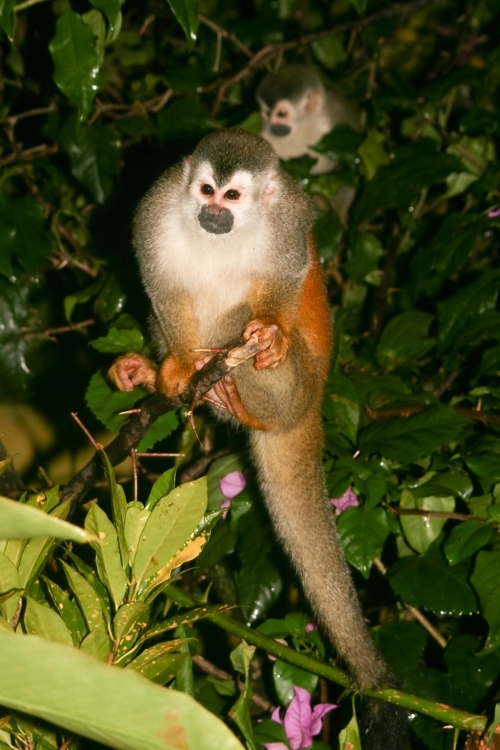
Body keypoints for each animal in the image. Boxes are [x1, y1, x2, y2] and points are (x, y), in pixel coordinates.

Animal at [107, 129, 408, 750]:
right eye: (205, 190)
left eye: (234, 196)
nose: (213, 213)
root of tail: (308, 408)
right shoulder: (155, 206)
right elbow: (160, 284)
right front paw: (173, 368)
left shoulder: (290, 220)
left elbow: (286, 279)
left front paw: (269, 330)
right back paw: (172, 380)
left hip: (289, 389)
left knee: (241, 326)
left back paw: (237, 379)